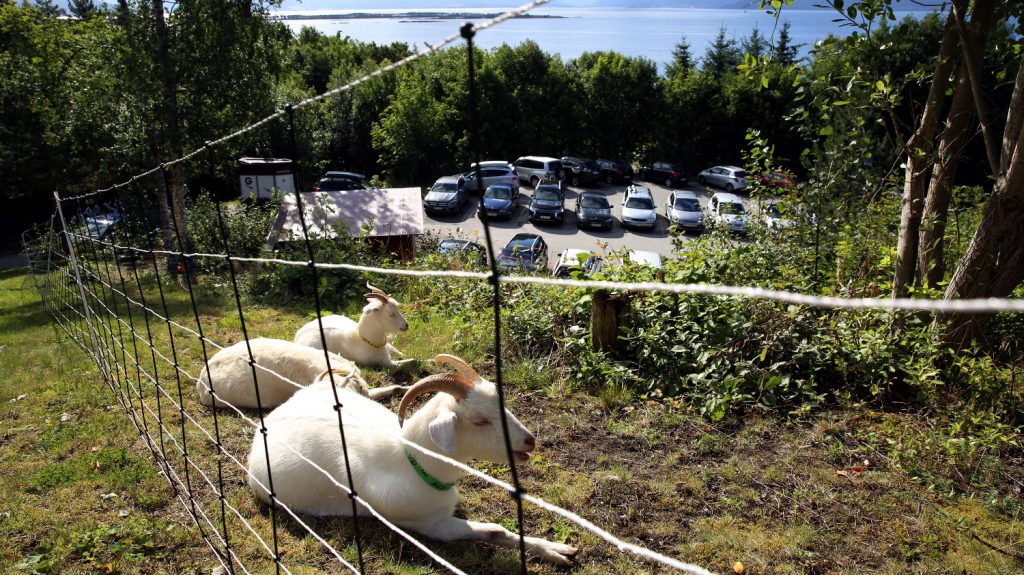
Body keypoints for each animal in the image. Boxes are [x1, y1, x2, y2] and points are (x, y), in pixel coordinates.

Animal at [246, 354, 579, 566]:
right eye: (480, 421)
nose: (529, 440)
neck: (410, 463)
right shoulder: (429, 525)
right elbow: (495, 530)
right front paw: (555, 553)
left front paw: (554, 549)